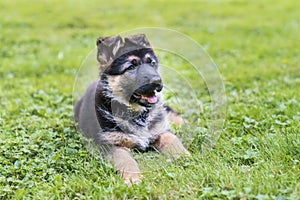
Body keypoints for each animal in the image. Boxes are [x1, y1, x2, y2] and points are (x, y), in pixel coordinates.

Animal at [73, 33, 189, 185]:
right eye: (131, 67)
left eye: (152, 63)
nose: (158, 82)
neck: (137, 113)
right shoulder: (112, 144)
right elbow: (126, 160)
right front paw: (133, 178)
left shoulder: (162, 131)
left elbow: (173, 140)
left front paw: (185, 157)